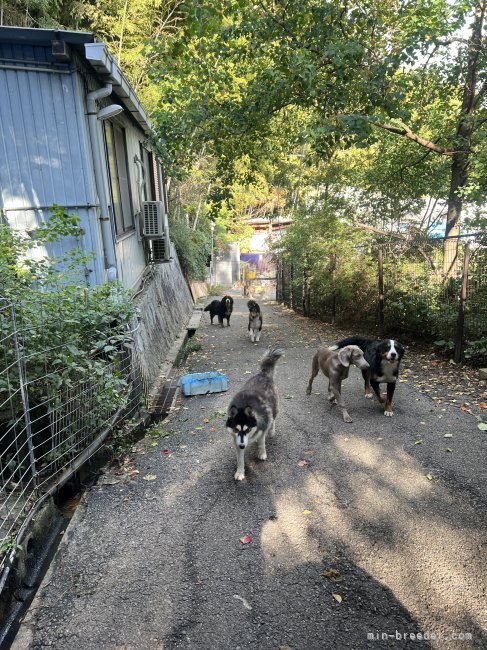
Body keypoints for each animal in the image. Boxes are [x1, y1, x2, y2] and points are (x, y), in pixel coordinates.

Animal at [227, 346, 284, 478]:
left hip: (274, 407)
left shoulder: (263, 426)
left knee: (273, 419)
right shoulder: (236, 440)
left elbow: (262, 442)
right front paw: (240, 471)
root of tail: (263, 373)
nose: (242, 445)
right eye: (236, 429)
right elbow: (240, 459)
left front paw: (262, 453)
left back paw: (271, 431)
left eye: (247, 429)